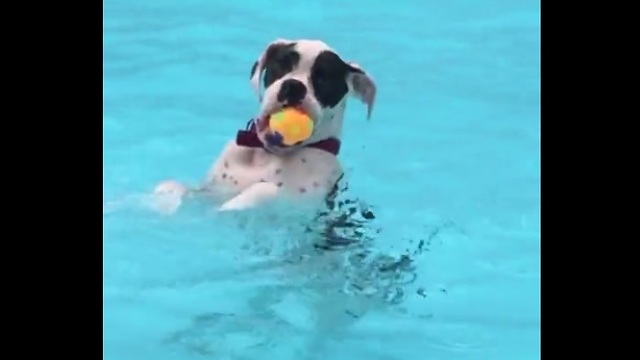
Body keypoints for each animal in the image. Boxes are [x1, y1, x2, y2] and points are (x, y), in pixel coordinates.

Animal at [153, 38, 378, 214]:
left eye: (322, 80)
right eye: (281, 65)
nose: (294, 86)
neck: (265, 155)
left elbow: (266, 190)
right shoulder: (209, 188)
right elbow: (173, 186)